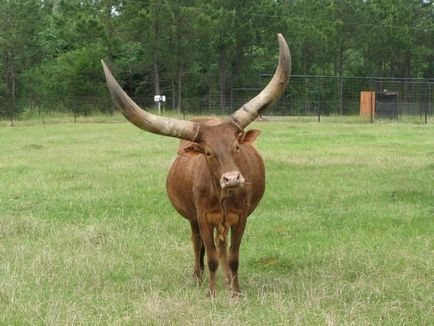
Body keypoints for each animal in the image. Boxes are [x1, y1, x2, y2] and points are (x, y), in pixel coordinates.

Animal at [102, 34, 292, 296]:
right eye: (208, 153)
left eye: (236, 146)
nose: (232, 179)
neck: (223, 196)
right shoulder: (202, 216)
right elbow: (210, 256)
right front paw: (211, 293)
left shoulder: (241, 216)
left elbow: (233, 257)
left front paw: (235, 292)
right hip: (192, 218)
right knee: (197, 243)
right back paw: (198, 276)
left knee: (221, 246)